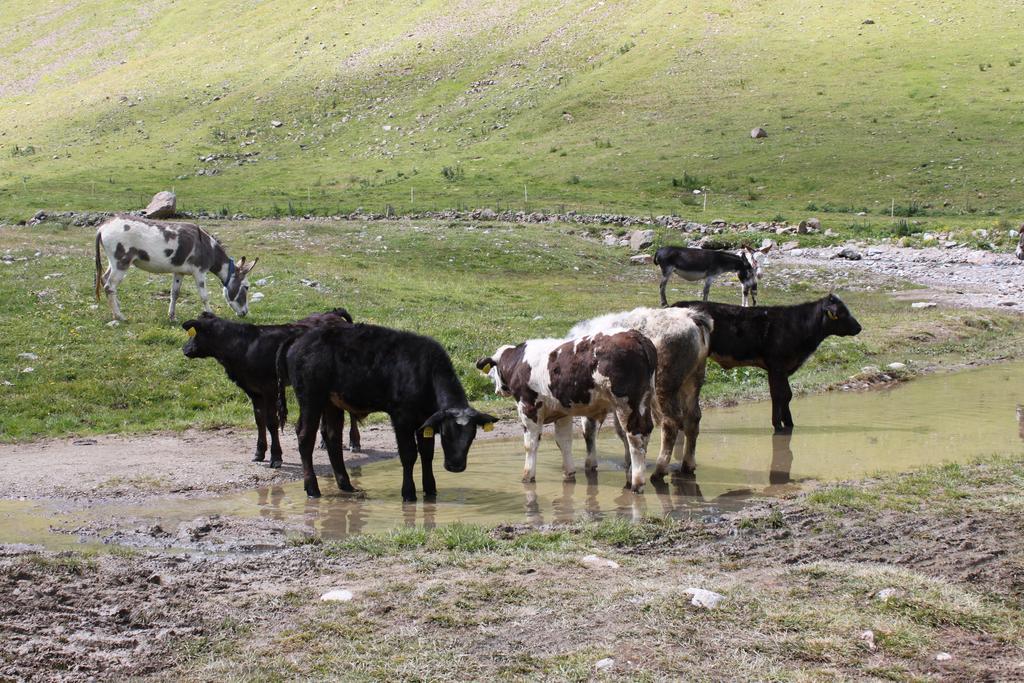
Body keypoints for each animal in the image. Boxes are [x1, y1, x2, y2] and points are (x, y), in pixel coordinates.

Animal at [93, 215, 256, 321]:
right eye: (246, 287)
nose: (245, 313)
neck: (208, 247)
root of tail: (103, 227)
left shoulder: (179, 272)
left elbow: (175, 293)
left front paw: (172, 317)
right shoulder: (199, 272)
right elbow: (204, 296)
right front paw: (211, 315)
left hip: (114, 262)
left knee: (104, 279)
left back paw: (116, 308)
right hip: (121, 262)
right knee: (109, 286)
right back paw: (120, 316)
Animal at [180, 307, 360, 466]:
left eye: (194, 334)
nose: (184, 349)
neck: (245, 348)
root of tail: (333, 313)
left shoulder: (270, 388)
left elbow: (271, 422)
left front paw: (276, 457)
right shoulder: (253, 391)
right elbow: (259, 420)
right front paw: (259, 453)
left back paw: (354, 442)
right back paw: (324, 441)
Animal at [280, 321, 495, 501]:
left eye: (472, 436)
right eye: (446, 434)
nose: (456, 466)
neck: (424, 371)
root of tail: (301, 340)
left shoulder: (425, 419)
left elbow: (427, 454)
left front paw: (430, 490)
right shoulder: (401, 417)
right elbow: (409, 454)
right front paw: (408, 493)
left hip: (332, 402)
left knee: (332, 437)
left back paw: (346, 485)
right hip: (310, 398)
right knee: (305, 437)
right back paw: (312, 488)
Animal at [477, 329, 655, 491]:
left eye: (494, 370)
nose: (497, 390)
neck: (519, 362)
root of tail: (635, 335)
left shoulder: (528, 407)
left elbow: (530, 444)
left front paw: (527, 477)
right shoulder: (562, 412)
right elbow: (564, 442)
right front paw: (569, 474)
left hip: (626, 404)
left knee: (635, 438)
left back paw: (637, 482)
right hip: (643, 402)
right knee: (645, 434)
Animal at [569, 307, 712, 479]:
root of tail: (691, 316)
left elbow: (589, 431)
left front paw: (590, 465)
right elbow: (622, 430)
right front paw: (629, 462)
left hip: (664, 386)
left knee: (671, 423)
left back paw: (659, 470)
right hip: (693, 381)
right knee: (693, 418)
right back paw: (687, 465)